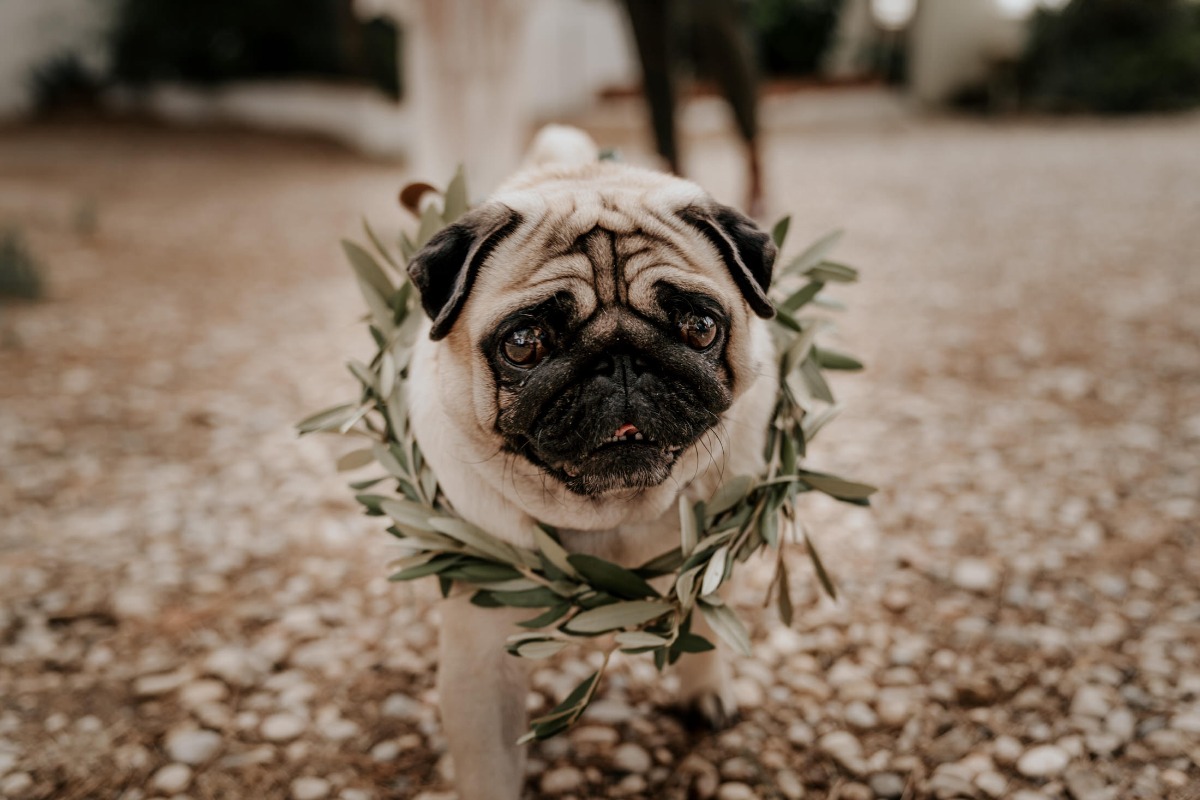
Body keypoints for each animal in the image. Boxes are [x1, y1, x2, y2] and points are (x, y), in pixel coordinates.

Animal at [403, 126, 777, 800]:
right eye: (524, 343)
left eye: (700, 326)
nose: (620, 362)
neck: (611, 517)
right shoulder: (480, 662)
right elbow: (489, 768)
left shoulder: (704, 565)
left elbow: (702, 631)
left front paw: (705, 690)